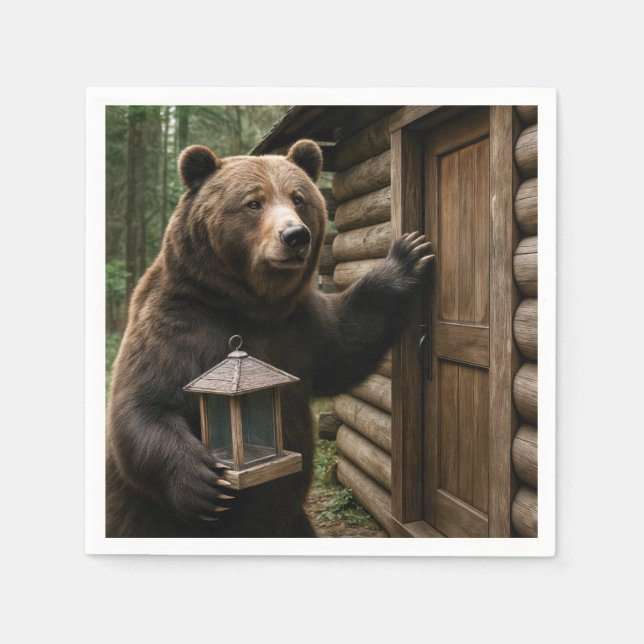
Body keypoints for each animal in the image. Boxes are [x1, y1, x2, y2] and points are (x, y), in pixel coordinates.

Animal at [106, 139, 433, 538]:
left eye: (298, 198)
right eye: (253, 201)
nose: (295, 236)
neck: (252, 306)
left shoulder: (300, 329)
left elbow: (348, 345)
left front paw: (409, 256)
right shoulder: (179, 324)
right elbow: (144, 404)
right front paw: (206, 482)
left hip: (291, 522)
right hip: (140, 520)